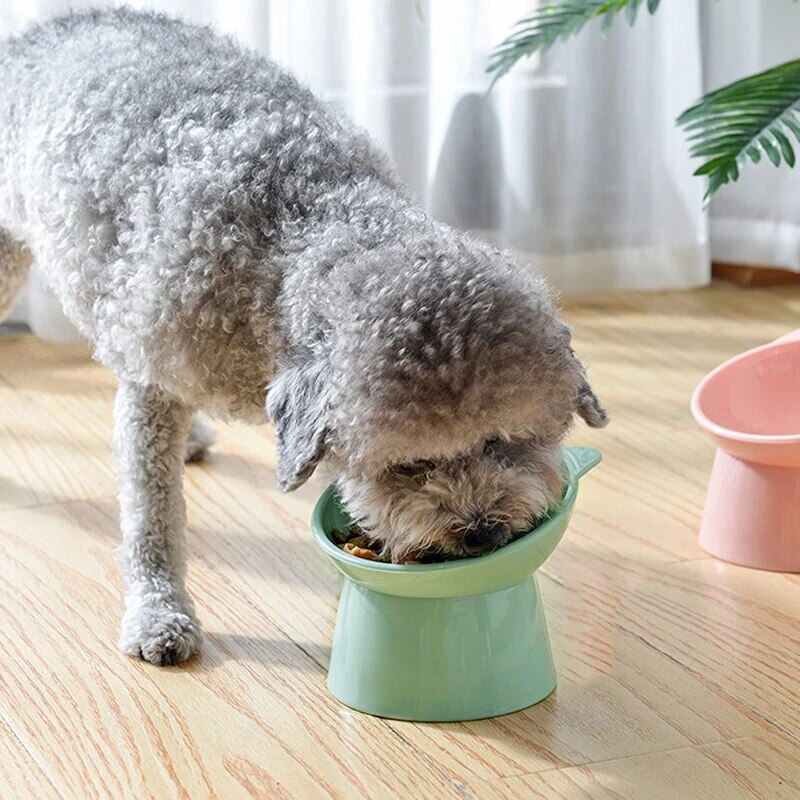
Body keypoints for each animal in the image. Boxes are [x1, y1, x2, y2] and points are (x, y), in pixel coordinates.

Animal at [0, 9, 608, 664]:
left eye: (505, 442)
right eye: (407, 466)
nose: (482, 532)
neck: (297, 234)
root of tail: (39, 30)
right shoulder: (151, 383)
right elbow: (151, 521)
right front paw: (159, 613)